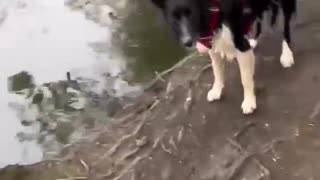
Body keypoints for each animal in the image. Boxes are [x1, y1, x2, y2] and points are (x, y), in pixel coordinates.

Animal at [150, 0, 298, 114]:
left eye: (191, 13)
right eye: (173, 18)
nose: (187, 42)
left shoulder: (239, 43)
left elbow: (245, 79)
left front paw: (249, 101)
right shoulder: (213, 45)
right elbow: (217, 72)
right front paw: (216, 91)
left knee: (285, 26)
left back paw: (286, 54)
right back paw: (254, 41)